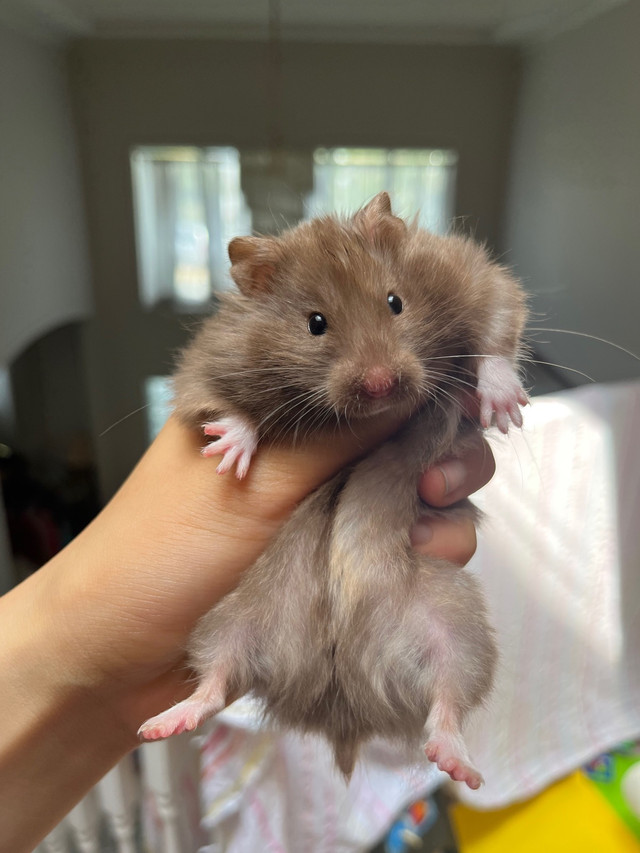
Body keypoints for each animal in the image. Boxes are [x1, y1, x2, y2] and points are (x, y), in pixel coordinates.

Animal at [138, 191, 528, 784]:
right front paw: (229, 454)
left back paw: (458, 764)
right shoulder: (207, 361)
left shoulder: (474, 276)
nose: (382, 384)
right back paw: (162, 724)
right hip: (229, 617)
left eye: (395, 302)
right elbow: (216, 403)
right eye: (315, 323)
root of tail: (342, 712)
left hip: (457, 623)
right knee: (215, 680)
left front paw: (504, 410)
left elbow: (497, 325)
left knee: (449, 696)